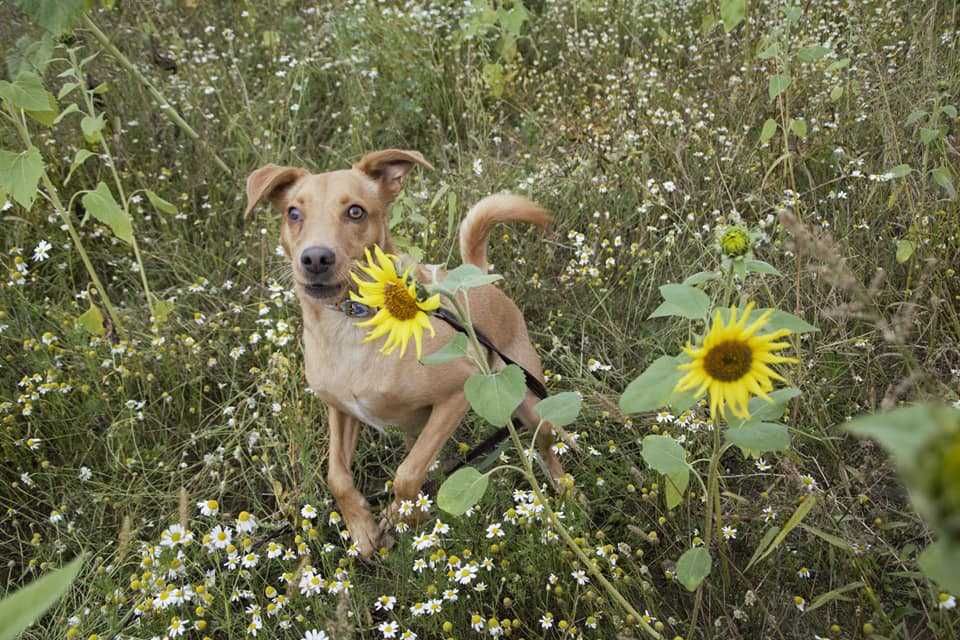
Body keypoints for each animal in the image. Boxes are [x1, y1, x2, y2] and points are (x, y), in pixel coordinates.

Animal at [244, 149, 568, 556]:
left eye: (355, 211)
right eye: (293, 213)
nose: (315, 258)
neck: (351, 323)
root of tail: (476, 276)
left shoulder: (457, 394)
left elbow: (406, 477)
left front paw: (399, 516)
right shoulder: (339, 409)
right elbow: (338, 477)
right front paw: (363, 528)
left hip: (528, 402)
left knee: (546, 446)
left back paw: (566, 498)